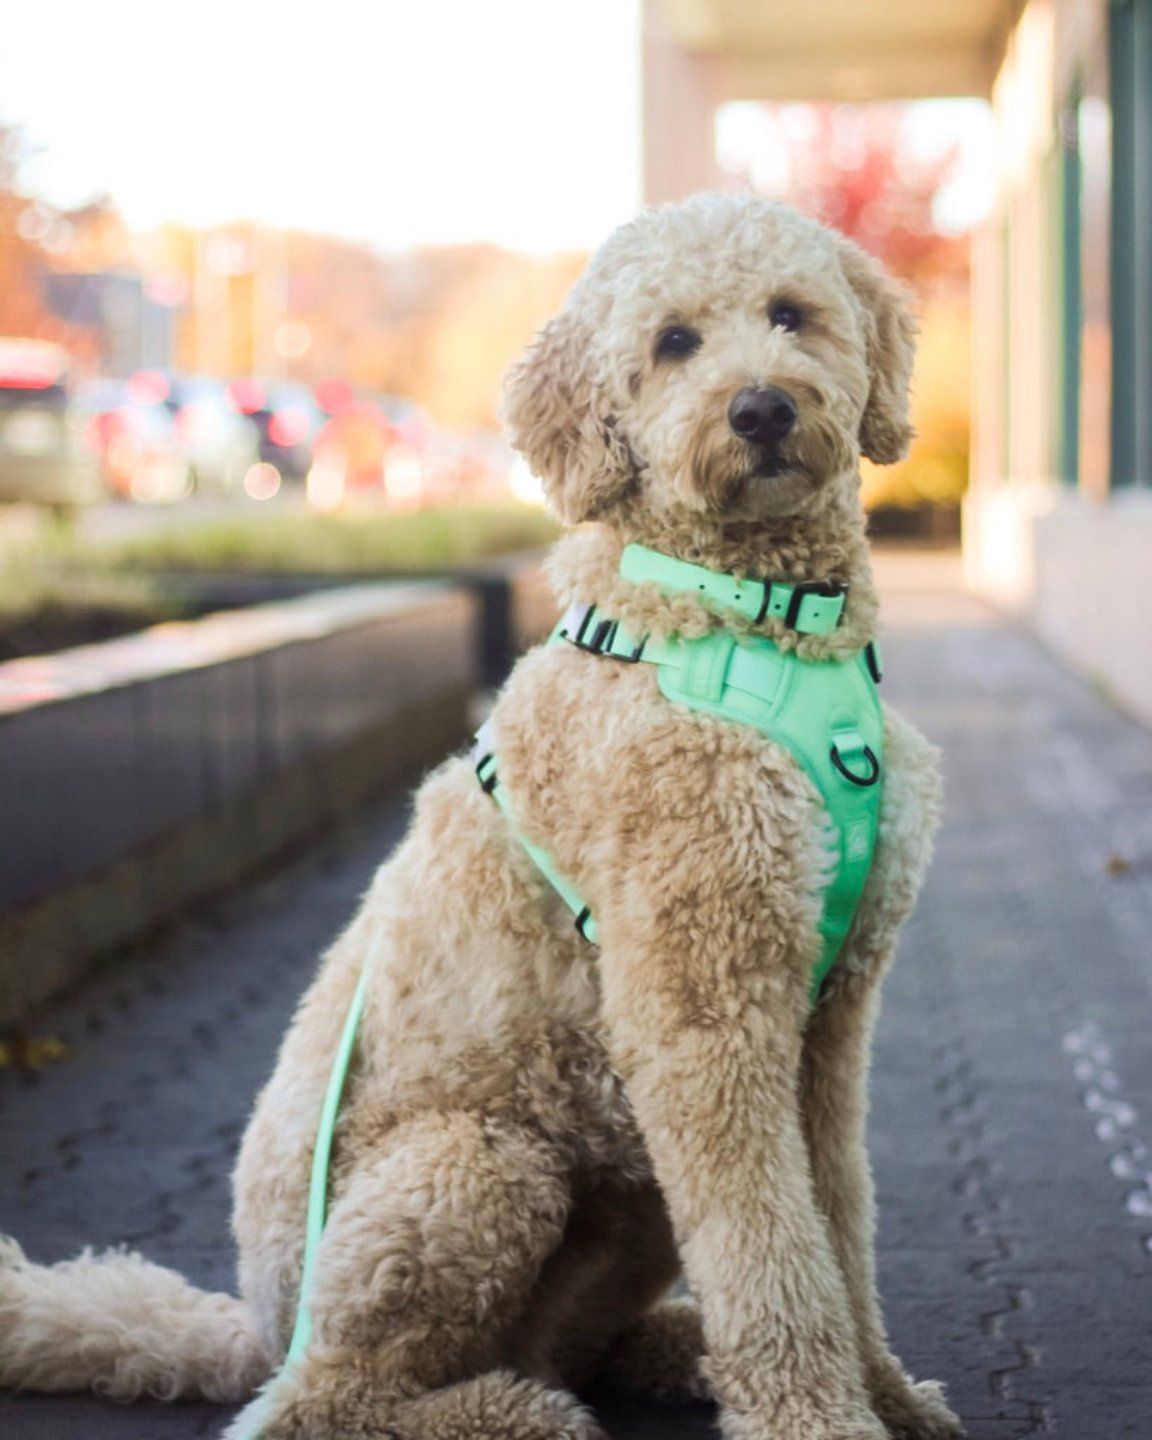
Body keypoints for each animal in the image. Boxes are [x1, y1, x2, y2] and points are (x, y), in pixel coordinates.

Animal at [0, 197, 961, 1440]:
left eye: (791, 315)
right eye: (675, 343)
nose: (761, 409)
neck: (747, 619)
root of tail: (255, 1321)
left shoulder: (830, 1016)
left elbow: (837, 1224)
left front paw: (883, 1392)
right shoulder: (703, 1006)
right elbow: (771, 1248)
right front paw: (818, 1416)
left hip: (627, 1186)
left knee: (555, 1344)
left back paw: (661, 1351)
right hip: (474, 1164)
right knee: (320, 1404)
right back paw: (510, 1411)